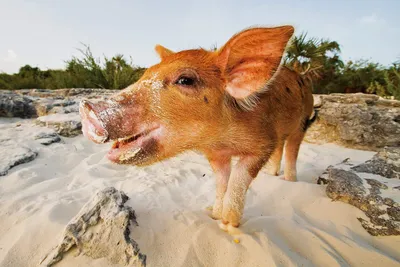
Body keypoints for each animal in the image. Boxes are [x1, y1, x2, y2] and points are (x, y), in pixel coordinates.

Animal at [79, 26, 314, 229]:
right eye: (144, 75)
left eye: (185, 80)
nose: (86, 108)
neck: (223, 141)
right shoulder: (216, 155)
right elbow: (221, 182)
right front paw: (214, 214)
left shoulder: (263, 143)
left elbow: (238, 180)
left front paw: (229, 225)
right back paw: (273, 175)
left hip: (302, 123)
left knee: (291, 149)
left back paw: (290, 180)